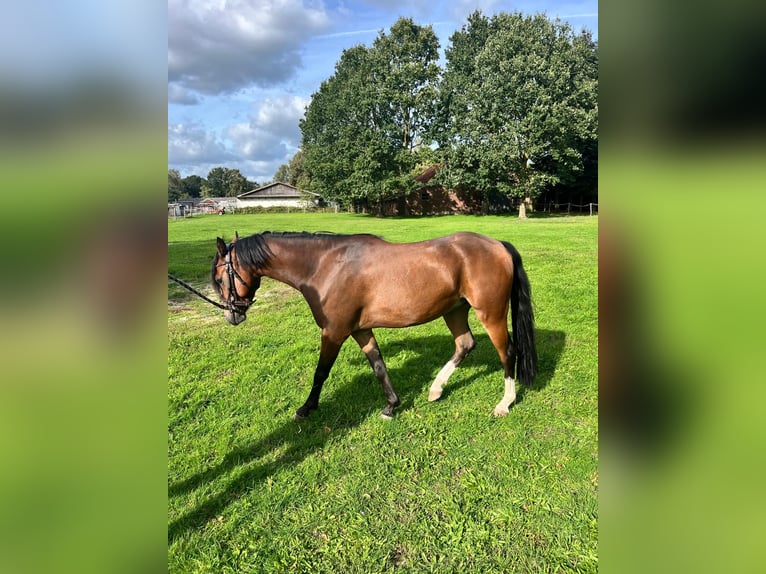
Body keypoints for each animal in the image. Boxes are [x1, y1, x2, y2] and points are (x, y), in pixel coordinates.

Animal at [211, 231, 536, 420]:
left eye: (219, 277)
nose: (232, 314)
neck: (324, 265)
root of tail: (498, 245)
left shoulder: (334, 332)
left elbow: (321, 372)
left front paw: (307, 408)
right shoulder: (359, 330)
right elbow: (378, 365)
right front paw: (392, 405)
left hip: (490, 314)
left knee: (507, 352)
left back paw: (505, 403)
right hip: (454, 310)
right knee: (465, 344)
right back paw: (436, 389)